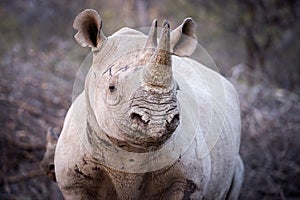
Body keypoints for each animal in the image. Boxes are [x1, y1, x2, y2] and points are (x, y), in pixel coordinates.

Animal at [52, 8, 244, 199]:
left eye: (177, 89)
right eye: (111, 88)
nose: (158, 118)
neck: (133, 151)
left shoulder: (189, 181)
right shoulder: (73, 183)